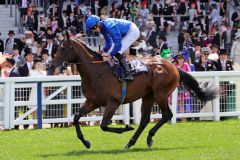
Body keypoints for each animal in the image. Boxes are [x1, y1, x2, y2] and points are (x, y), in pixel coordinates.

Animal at [49, 37, 218, 149]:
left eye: (63, 48)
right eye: (56, 48)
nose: (51, 65)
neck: (96, 71)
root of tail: (173, 66)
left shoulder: (113, 102)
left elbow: (104, 125)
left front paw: (126, 126)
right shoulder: (93, 101)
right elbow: (76, 118)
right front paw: (86, 142)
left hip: (161, 93)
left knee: (167, 115)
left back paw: (148, 137)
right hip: (148, 95)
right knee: (145, 119)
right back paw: (131, 142)